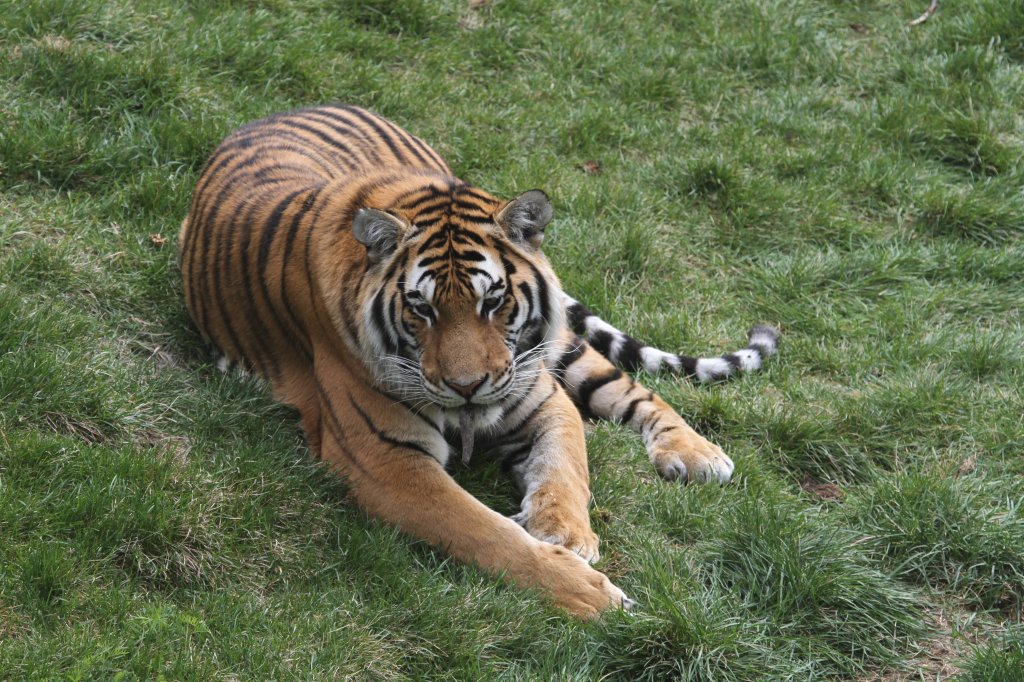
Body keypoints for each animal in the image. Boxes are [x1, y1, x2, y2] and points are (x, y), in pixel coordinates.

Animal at [180, 104, 778, 614]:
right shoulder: (384, 460)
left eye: (493, 301)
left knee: (636, 390)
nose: (467, 386)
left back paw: (697, 452)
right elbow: (486, 532)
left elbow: (566, 469)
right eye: (421, 308)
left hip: (562, 349)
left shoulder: (544, 398)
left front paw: (567, 533)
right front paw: (590, 595)